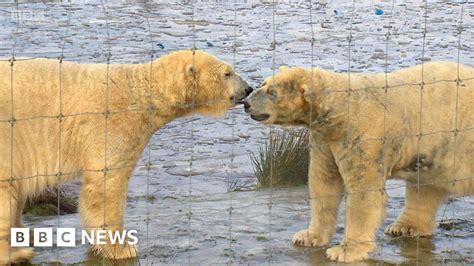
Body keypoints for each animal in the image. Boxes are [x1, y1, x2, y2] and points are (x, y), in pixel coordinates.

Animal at [0, 50, 254, 264]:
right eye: (228, 73)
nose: (249, 89)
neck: (141, 92)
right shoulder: (110, 128)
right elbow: (105, 187)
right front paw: (123, 248)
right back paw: (17, 252)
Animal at [244, 61, 474, 262]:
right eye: (264, 83)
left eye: (272, 92)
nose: (246, 103)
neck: (341, 109)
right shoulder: (325, 140)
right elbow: (323, 182)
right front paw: (307, 237)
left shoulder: (363, 136)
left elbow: (363, 192)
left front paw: (344, 251)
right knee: (424, 186)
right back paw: (404, 227)